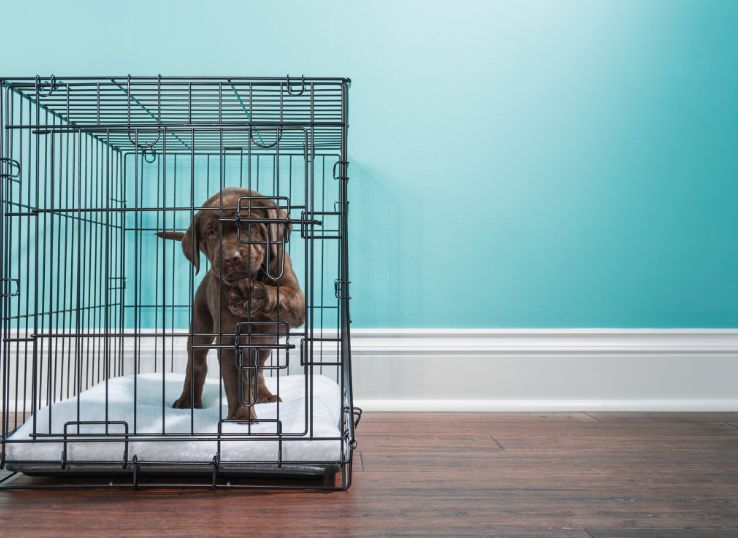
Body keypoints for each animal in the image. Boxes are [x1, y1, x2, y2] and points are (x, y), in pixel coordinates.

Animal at [157, 187, 304, 418]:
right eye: (211, 233)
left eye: (248, 225)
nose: (231, 258)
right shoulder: (228, 339)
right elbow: (236, 382)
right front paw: (242, 416)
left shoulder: (295, 298)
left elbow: (283, 295)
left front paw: (252, 295)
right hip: (201, 323)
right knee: (197, 363)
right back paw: (188, 400)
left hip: (267, 341)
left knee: (258, 369)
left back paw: (263, 394)